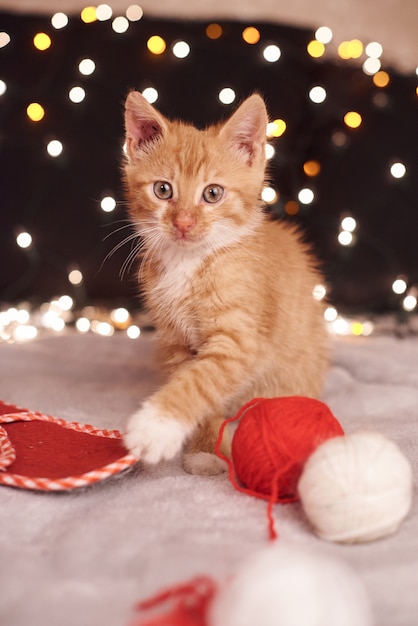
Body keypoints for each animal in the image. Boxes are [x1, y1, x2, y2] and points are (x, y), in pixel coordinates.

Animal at [122, 91, 328, 472]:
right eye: (163, 190)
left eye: (213, 194)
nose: (183, 223)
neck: (190, 262)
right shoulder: (176, 344)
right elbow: (198, 386)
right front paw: (205, 446)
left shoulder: (242, 341)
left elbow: (201, 381)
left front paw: (156, 427)